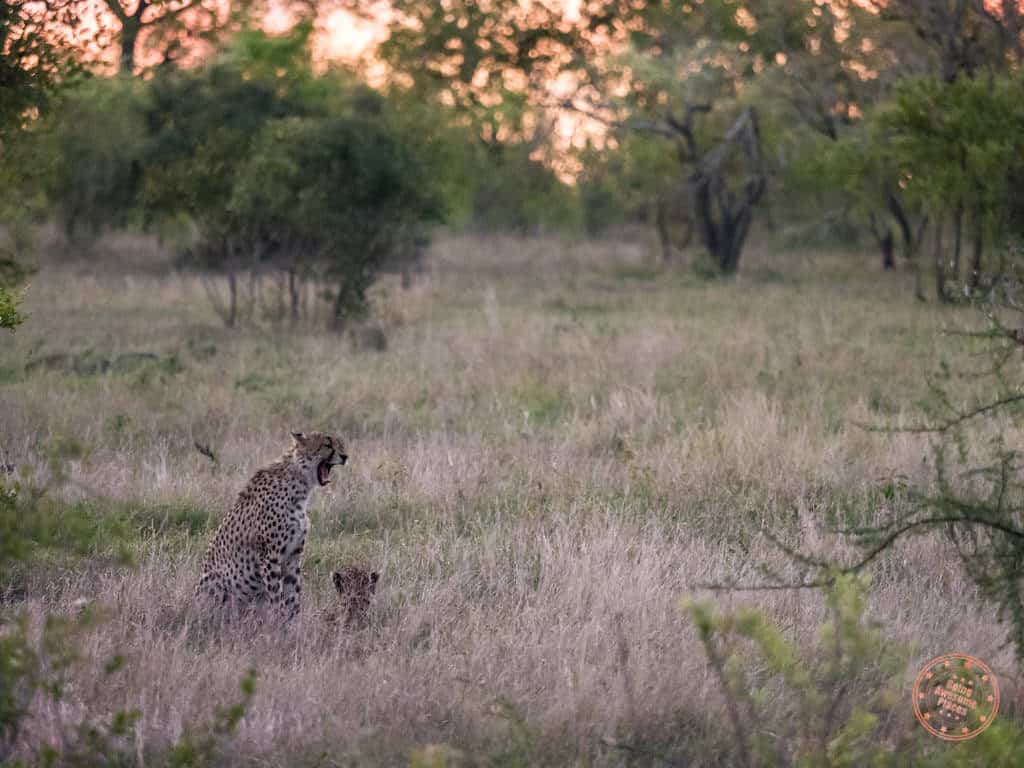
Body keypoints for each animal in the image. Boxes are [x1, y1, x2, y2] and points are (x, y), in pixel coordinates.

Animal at [195, 431, 347, 621]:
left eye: (340, 444)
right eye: (327, 445)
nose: (345, 456)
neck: (300, 487)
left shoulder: (293, 555)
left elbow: (293, 594)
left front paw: (292, 622)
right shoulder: (270, 556)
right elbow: (276, 595)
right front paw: (278, 620)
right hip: (216, 581)